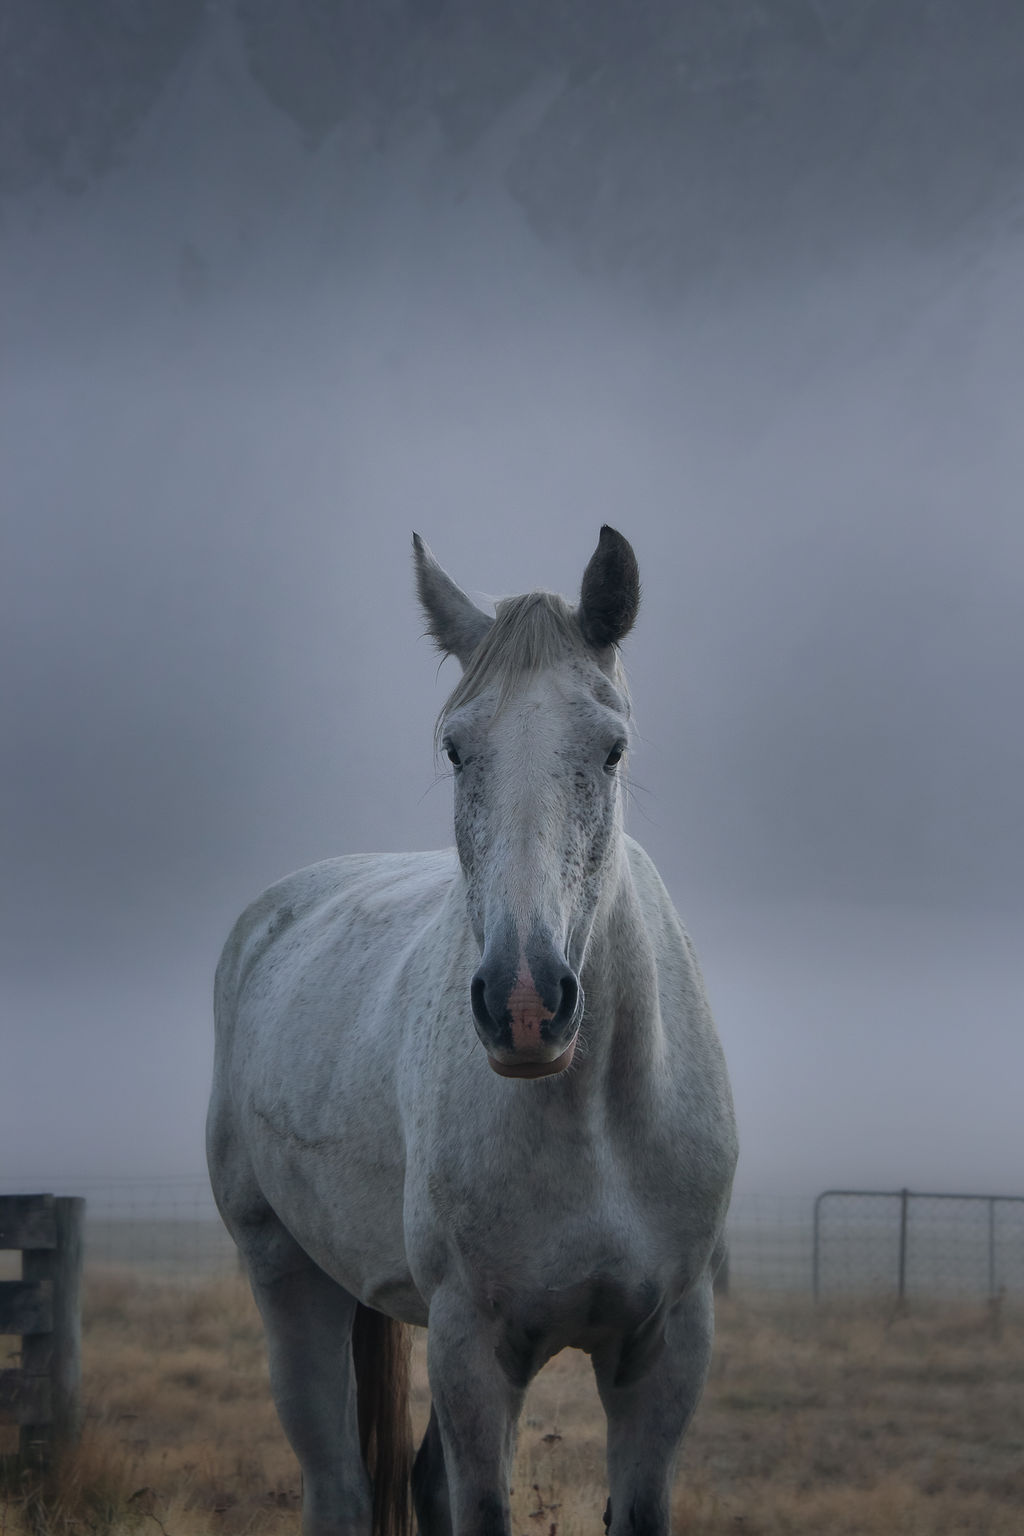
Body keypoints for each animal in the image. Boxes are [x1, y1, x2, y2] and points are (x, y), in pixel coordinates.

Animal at [207, 526, 737, 1536]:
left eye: (612, 748)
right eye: (456, 750)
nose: (525, 1002)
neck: (594, 1124)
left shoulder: (668, 1351)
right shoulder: (472, 1349)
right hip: (288, 1277)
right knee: (338, 1485)